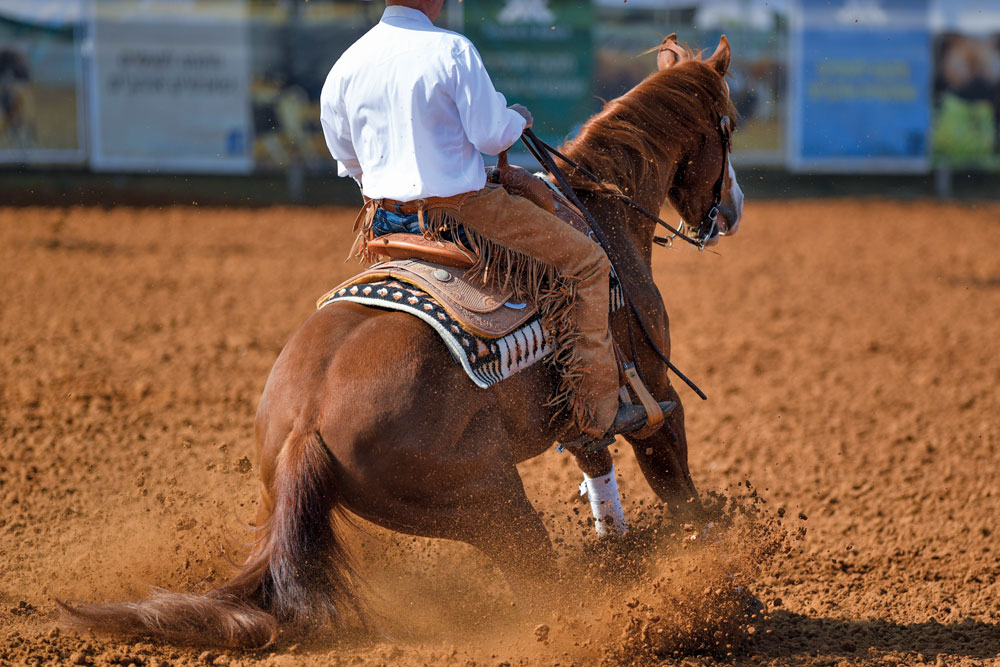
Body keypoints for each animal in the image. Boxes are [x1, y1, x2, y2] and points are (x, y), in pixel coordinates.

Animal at [60, 34, 744, 648]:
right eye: (730, 126)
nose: (731, 211)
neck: (602, 217)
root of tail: (304, 425)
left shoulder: (584, 416)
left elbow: (599, 473)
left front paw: (625, 556)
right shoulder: (654, 395)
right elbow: (677, 487)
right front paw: (712, 562)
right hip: (493, 502)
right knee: (541, 591)